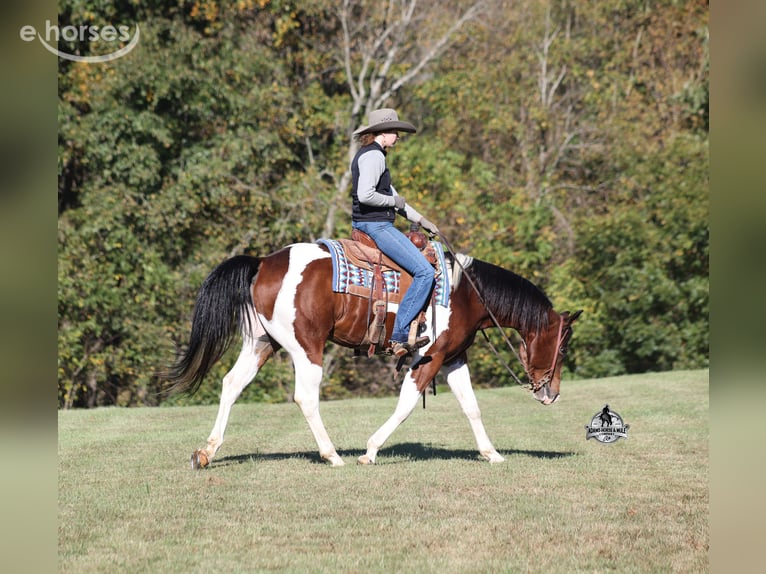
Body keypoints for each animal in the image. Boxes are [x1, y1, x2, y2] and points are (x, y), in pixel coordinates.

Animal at [163, 238, 582, 468]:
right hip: (306, 348)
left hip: (261, 343)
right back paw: (332, 455)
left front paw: (491, 453)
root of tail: (264, 262)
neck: (466, 292)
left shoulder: (453, 359)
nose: (553, 393)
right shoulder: (428, 358)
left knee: (231, 384)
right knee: (305, 397)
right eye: (563, 345)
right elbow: (406, 405)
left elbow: (472, 407)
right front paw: (371, 450)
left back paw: (207, 452)